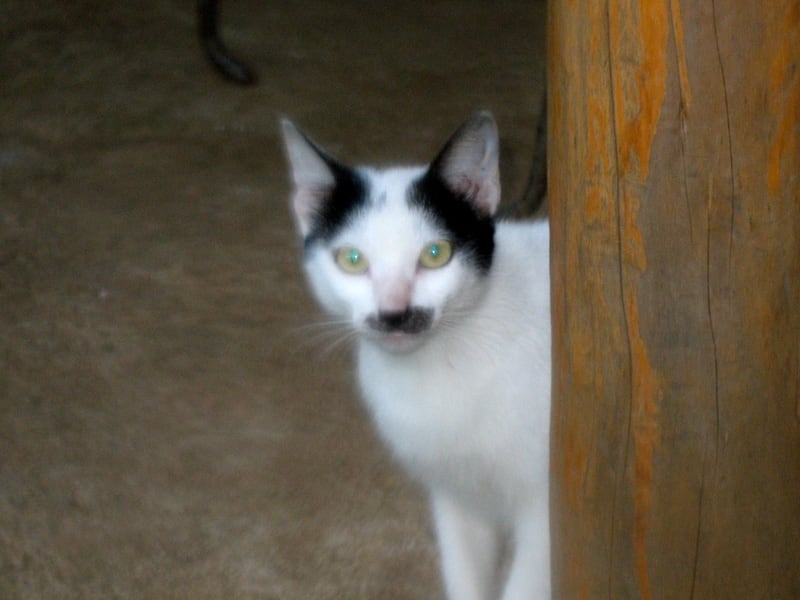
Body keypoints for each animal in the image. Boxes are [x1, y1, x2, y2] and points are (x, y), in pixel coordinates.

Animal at [280, 113, 552, 600]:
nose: (395, 313)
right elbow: (465, 578)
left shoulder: (547, 511)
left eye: (436, 254)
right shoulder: (454, 493)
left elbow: (526, 587)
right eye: (352, 259)